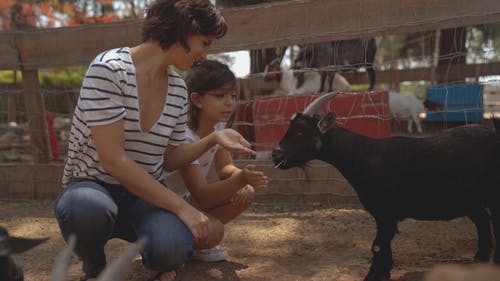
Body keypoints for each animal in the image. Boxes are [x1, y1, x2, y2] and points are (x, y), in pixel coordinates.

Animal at [272, 92, 500, 280]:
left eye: (300, 131)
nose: (276, 155)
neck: (365, 156)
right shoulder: (383, 216)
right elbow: (382, 244)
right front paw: (383, 272)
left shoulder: (386, 213)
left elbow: (378, 246)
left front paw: (374, 276)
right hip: (470, 199)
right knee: (482, 220)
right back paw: (480, 257)